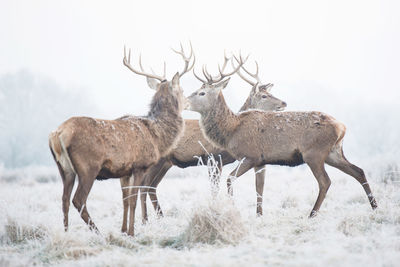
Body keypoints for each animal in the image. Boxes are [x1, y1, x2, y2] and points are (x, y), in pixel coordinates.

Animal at [48, 45, 194, 237]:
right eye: (182, 90)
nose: (189, 102)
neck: (157, 136)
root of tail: (58, 134)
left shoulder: (124, 171)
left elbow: (124, 200)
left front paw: (123, 230)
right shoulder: (140, 165)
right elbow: (132, 200)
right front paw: (132, 232)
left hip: (64, 169)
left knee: (64, 200)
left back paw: (66, 234)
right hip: (88, 167)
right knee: (78, 200)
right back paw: (99, 233)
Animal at [119, 53, 288, 233]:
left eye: (269, 93)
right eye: (264, 96)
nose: (283, 103)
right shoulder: (212, 157)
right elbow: (215, 188)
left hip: (166, 163)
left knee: (151, 187)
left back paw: (157, 218)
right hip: (156, 161)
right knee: (144, 187)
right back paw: (145, 221)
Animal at [184, 55, 378, 220]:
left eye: (201, 93)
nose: (184, 101)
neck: (231, 130)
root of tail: (342, 127)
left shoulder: (250, 155)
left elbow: (230, 179)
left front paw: (233, 209)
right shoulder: (261, 161)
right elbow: (259, 187)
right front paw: (258, 215)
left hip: (314, 153)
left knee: (325, 181)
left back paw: (312, 214)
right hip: (334, 152)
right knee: (359, 171)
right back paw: (375, 206)